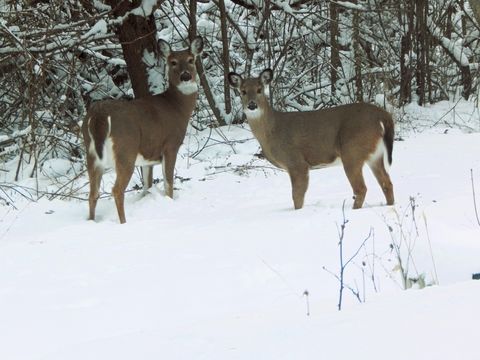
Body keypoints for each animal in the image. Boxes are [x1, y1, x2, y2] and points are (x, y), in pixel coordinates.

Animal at [81, 35, 204, 222]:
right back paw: (123, 223)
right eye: (173, 62)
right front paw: (170, 202)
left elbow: (147, 185)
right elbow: (169, 182)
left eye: (191, 60)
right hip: (125, 149)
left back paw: (92, 221)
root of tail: (99, 115)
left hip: (91, 153)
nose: (186, 76)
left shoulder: (148, 156)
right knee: (117, 190)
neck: (177, 107)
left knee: (92, 193)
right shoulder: (170, 145)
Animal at [228, 68, 394, 210]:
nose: (252, 105)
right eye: (243, 91)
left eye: (259, 90)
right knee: (387, 183)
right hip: (374, 155)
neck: (272, 131)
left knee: (361, 188)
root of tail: (383, 115)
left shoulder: (297, 162)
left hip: (352, 151)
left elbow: (297, 197)